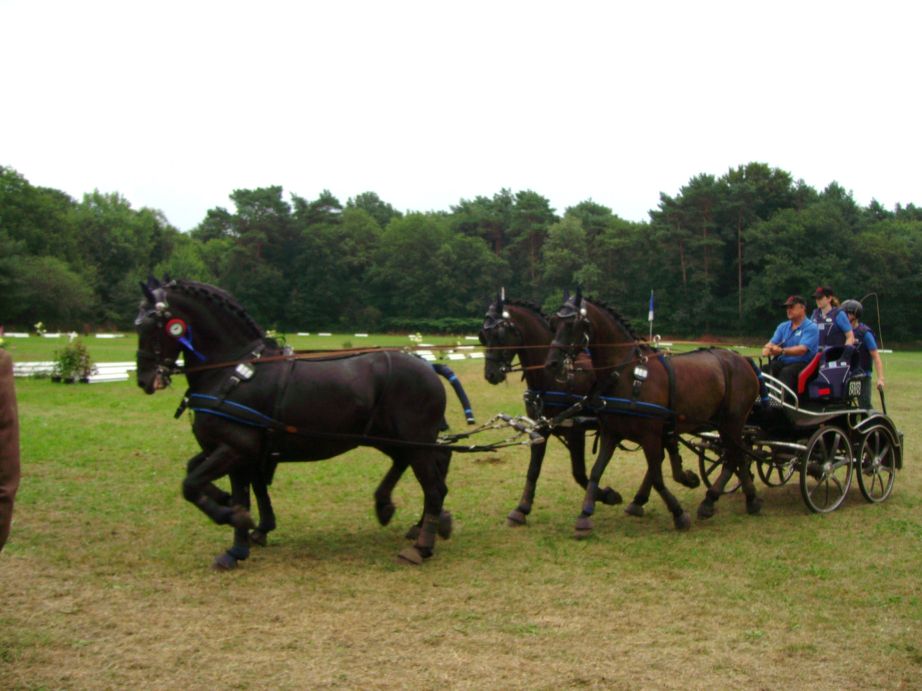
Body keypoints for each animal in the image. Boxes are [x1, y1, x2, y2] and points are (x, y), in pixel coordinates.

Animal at [135, 278, 452, 572]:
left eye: (148, 325)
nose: (144, 380)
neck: (231, 372)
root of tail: (428, 366)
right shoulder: (238, 450)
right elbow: (222, 482)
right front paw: (240, 526)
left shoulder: (235, 447)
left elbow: (194, 486)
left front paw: (236, 526)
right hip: (390, 438)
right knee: (422, 464)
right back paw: (399, 511)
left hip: (413, 440)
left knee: (434, 486)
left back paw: (421, 544)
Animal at [478, 294, 620, 528]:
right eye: (483, 334)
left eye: (498, 334)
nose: (490, 374)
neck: (550, 379)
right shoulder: (539, 429)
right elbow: (533, 470)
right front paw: (521, 509)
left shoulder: (575, 431)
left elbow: (579, 473)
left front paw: (607, 495)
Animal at [544, 290, 760, 536]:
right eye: (554, 323)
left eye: (573, 324)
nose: (552, 363)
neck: (626, 375)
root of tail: (743, 360)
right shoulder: (611, 433)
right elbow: (597, 472)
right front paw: (585, 514)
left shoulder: (650, 436)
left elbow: (657, 476)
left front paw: (678, 513)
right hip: (725, 423)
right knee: (738, 455)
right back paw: (747, 499)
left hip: (732, 421)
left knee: (734, 455)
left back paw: (712, 500)